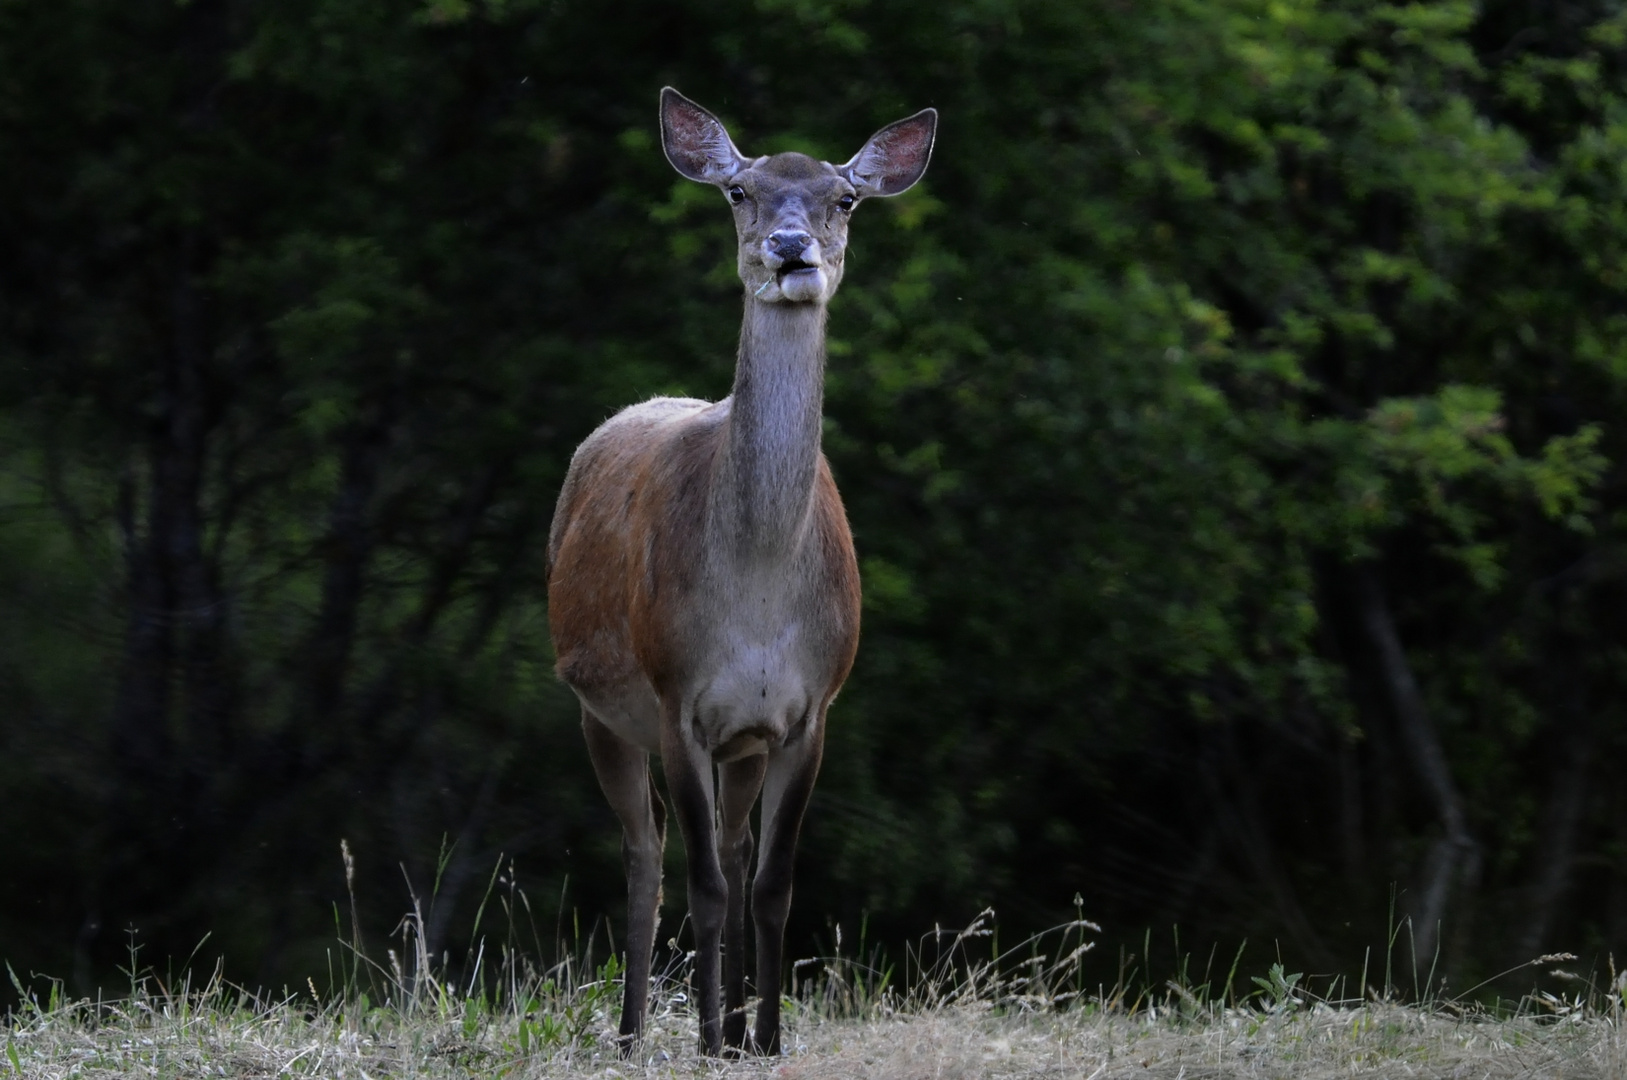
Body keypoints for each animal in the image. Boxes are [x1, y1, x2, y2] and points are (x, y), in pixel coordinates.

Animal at [543, 86, 937, 1053]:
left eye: (845, 199)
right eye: (739, 191)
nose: (790, 249)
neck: (756, 592)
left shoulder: (808, 709)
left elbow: (770, 882)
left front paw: (763, 1038)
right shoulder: (676, 694)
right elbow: (707, 887)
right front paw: (709, 1040)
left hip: (742, 741)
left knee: (724, 846)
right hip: (597, 706)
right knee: (646, 854)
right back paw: (635, 1032)